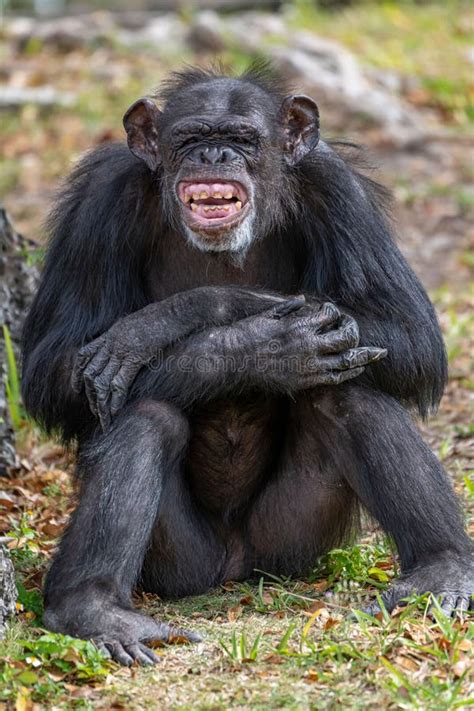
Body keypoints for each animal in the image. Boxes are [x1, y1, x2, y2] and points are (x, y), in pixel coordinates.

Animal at [23, 64, 474, 664]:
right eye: (190, 138)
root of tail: (235, 572)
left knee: (346, 392)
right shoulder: (101, 202)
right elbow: (52, 365)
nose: (214, 155)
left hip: (292, 544)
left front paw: (175, 322)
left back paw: (442, 570)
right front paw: (251, 345)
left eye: (242, 139)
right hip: (181, 564)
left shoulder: (337, 189)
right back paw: (93, 610)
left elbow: (412, 334)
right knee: (147, 412)